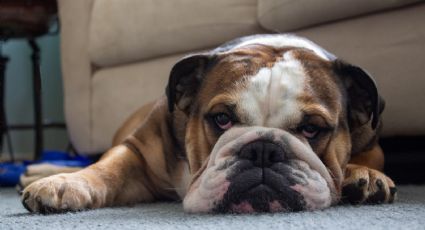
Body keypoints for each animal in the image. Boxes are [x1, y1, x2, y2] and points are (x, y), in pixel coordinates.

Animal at [21, 34, 396, 214]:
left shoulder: (372, 139)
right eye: (221, 119)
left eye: (312, 128)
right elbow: (106, 168)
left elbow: (369, 157)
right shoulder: (137, 150)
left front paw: (363, 175)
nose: (263, 150)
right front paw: (66, 184)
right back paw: (39, 171)